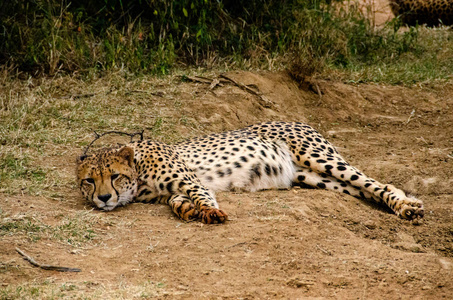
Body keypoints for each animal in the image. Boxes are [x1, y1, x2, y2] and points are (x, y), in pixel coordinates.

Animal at [75, 121, 424, 223]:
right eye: (89, 181)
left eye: (114, 176)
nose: (103, 198)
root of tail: (299, 121)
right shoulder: (169, 192)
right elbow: (177, 202)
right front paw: (188, 211)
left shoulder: (189, 179)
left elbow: (202, 194)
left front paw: (210, 213)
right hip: (313, 177)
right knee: (368, 189)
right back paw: (401, 204)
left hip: (319, 159)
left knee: (375, 182)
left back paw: (407, 206)